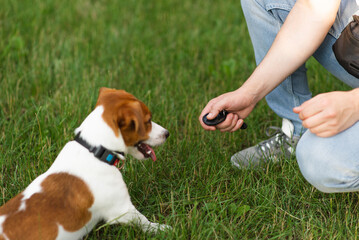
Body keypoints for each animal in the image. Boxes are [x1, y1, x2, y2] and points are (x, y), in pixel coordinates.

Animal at [0, 88, 172, 240]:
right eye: (148, 121)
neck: (94, 149)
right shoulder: (122, 209)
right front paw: (162, 228)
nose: (167, 133)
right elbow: (144, 221)